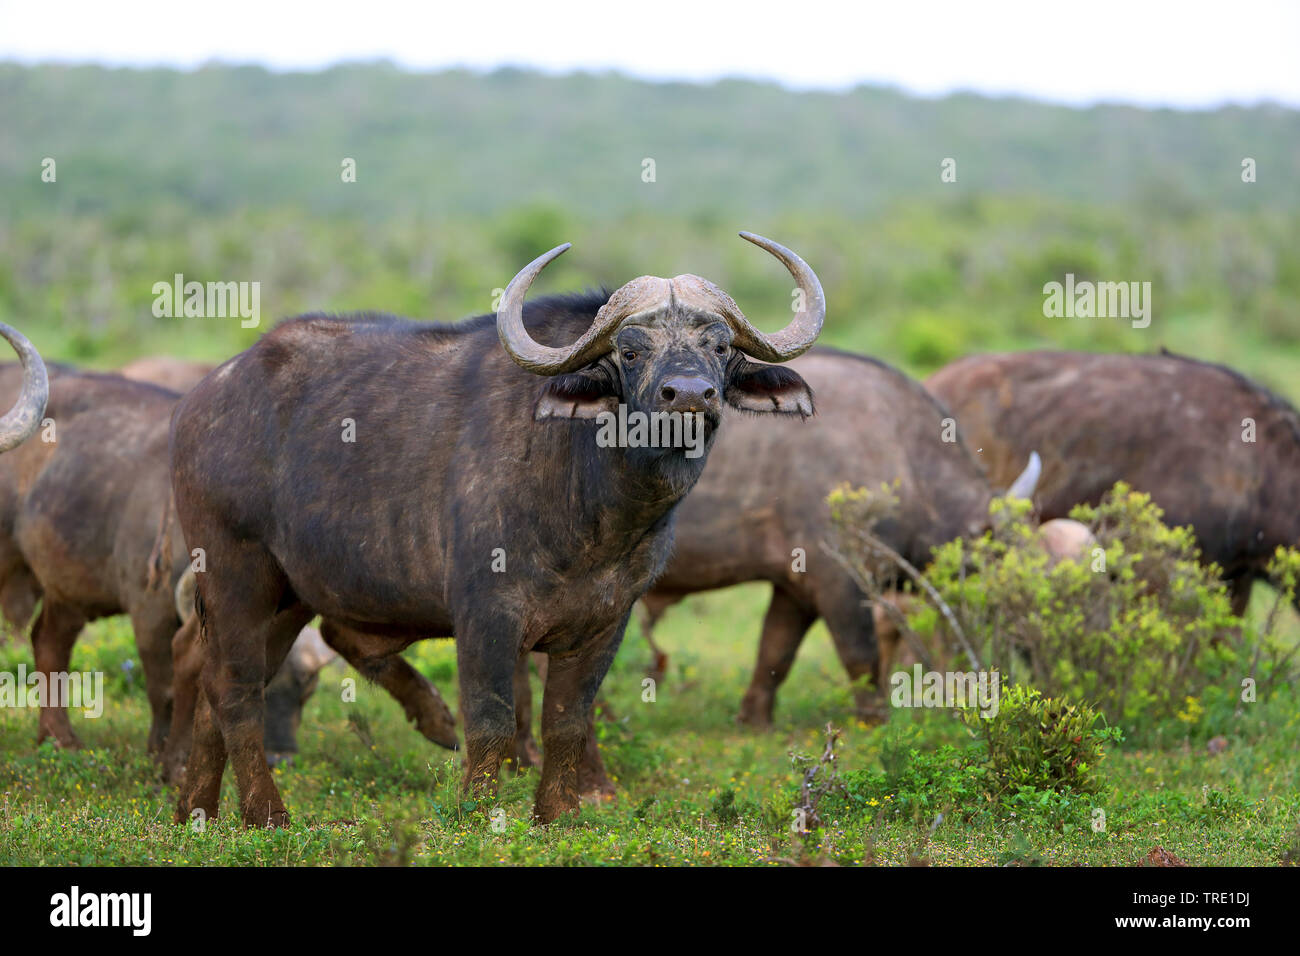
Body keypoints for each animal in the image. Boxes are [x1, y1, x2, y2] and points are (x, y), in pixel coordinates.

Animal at [169, 233, 825, 827]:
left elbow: (567, 722)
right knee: (233, 688)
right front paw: (479, 815)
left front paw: (558, 814)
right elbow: (491, 723)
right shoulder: (485, 615)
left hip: (288, 597)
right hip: (236, 574)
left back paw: (194, 810)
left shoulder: (606, 621)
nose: (689, 395)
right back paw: (264, 813)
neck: (594, 511)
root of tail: (202, 401)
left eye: (720, 346)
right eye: (631, 351)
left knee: (215, 687)